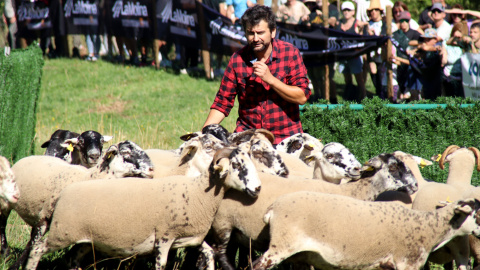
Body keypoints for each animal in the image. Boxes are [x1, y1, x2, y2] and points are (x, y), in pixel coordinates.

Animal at [4, 140, 154, 268]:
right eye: (126, 152)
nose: (152, 169)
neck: (90, 178)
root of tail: (30, 156)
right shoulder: (44, 219)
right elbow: (34, 244)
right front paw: (19, 265)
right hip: (7, 203)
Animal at [22, 146, 260, 270]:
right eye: (236, 165)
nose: (258, 188)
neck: (198, 192)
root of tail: (64, 192)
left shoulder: (188, 237)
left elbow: (209, 254)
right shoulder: (164, 237)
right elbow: (161, 264)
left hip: (85, 239)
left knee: (72, 258)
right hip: (62, 232)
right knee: (37, 248)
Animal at [251, 192, 480, 270]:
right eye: (476, 214)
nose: (479, 232)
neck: (429, 227)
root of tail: (273, 208)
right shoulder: (407, 263)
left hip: (298, 255)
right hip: (281, 245)